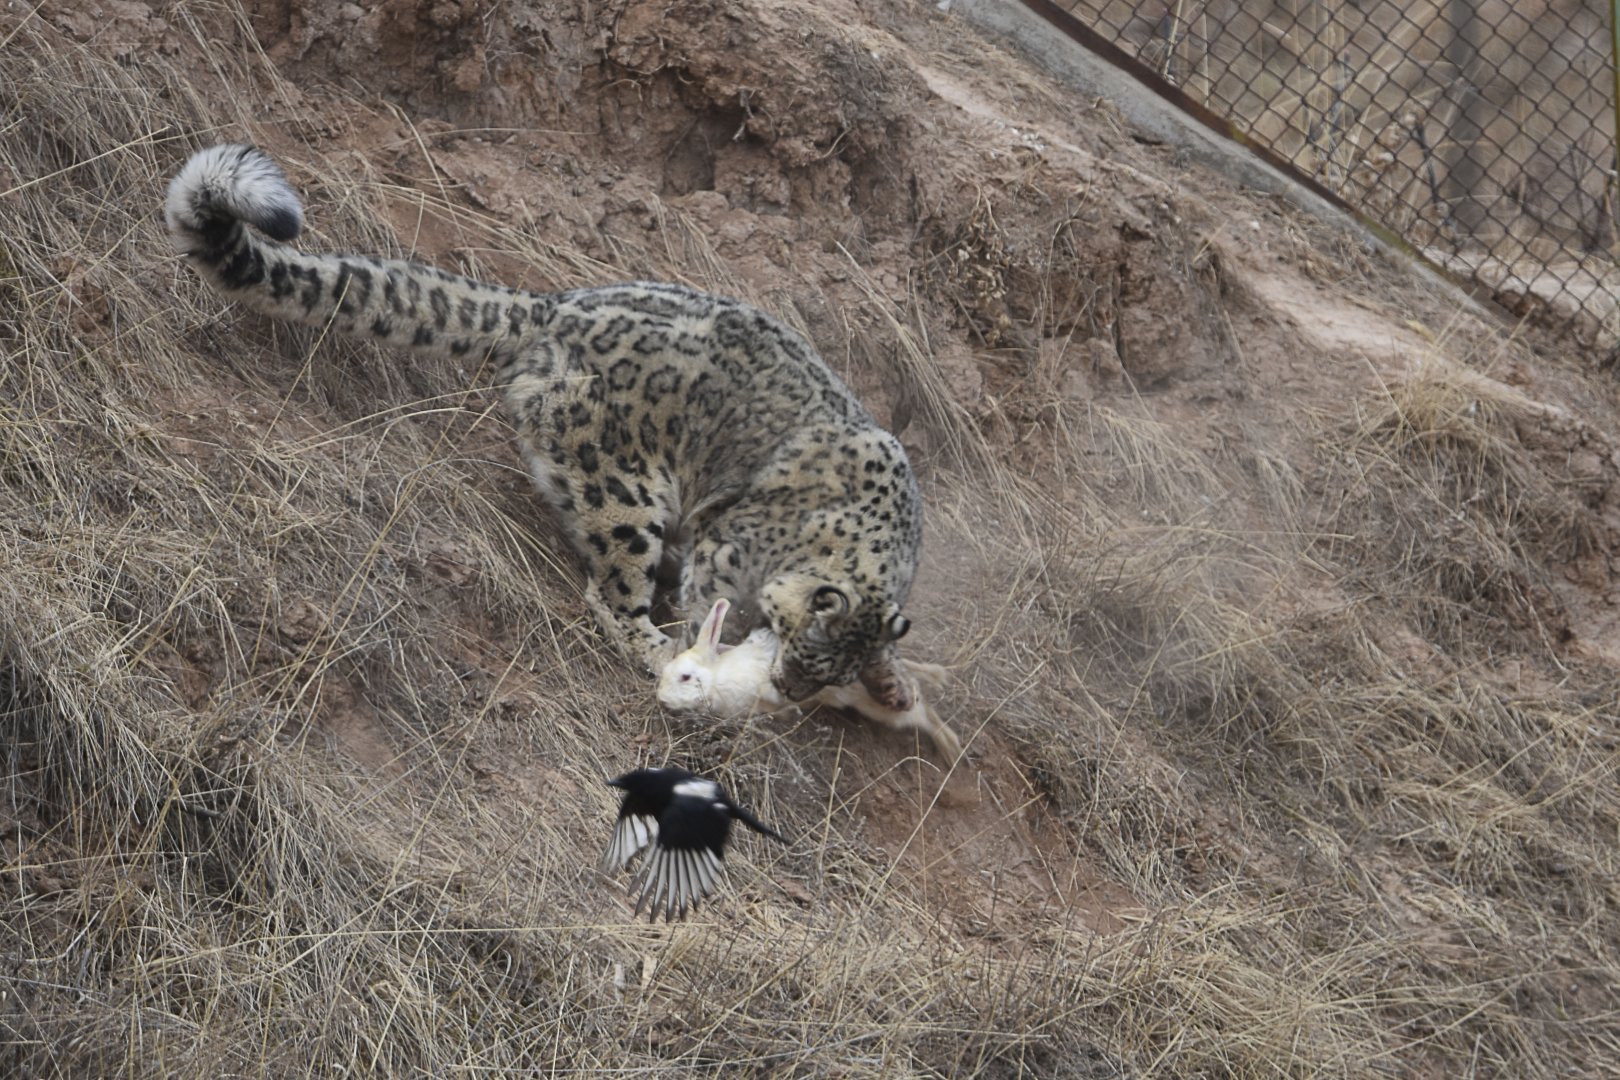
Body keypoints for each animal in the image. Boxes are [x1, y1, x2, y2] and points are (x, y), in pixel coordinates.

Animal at [165, 144, 923, 708]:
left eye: (832, 669)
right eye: (809, 648)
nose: (791, 691)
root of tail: (558, 308)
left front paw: (894, 683)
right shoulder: (726, 549)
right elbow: (704, 596)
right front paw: (698, 651)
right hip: (625, 493)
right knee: (612, 589)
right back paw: (654, 646)